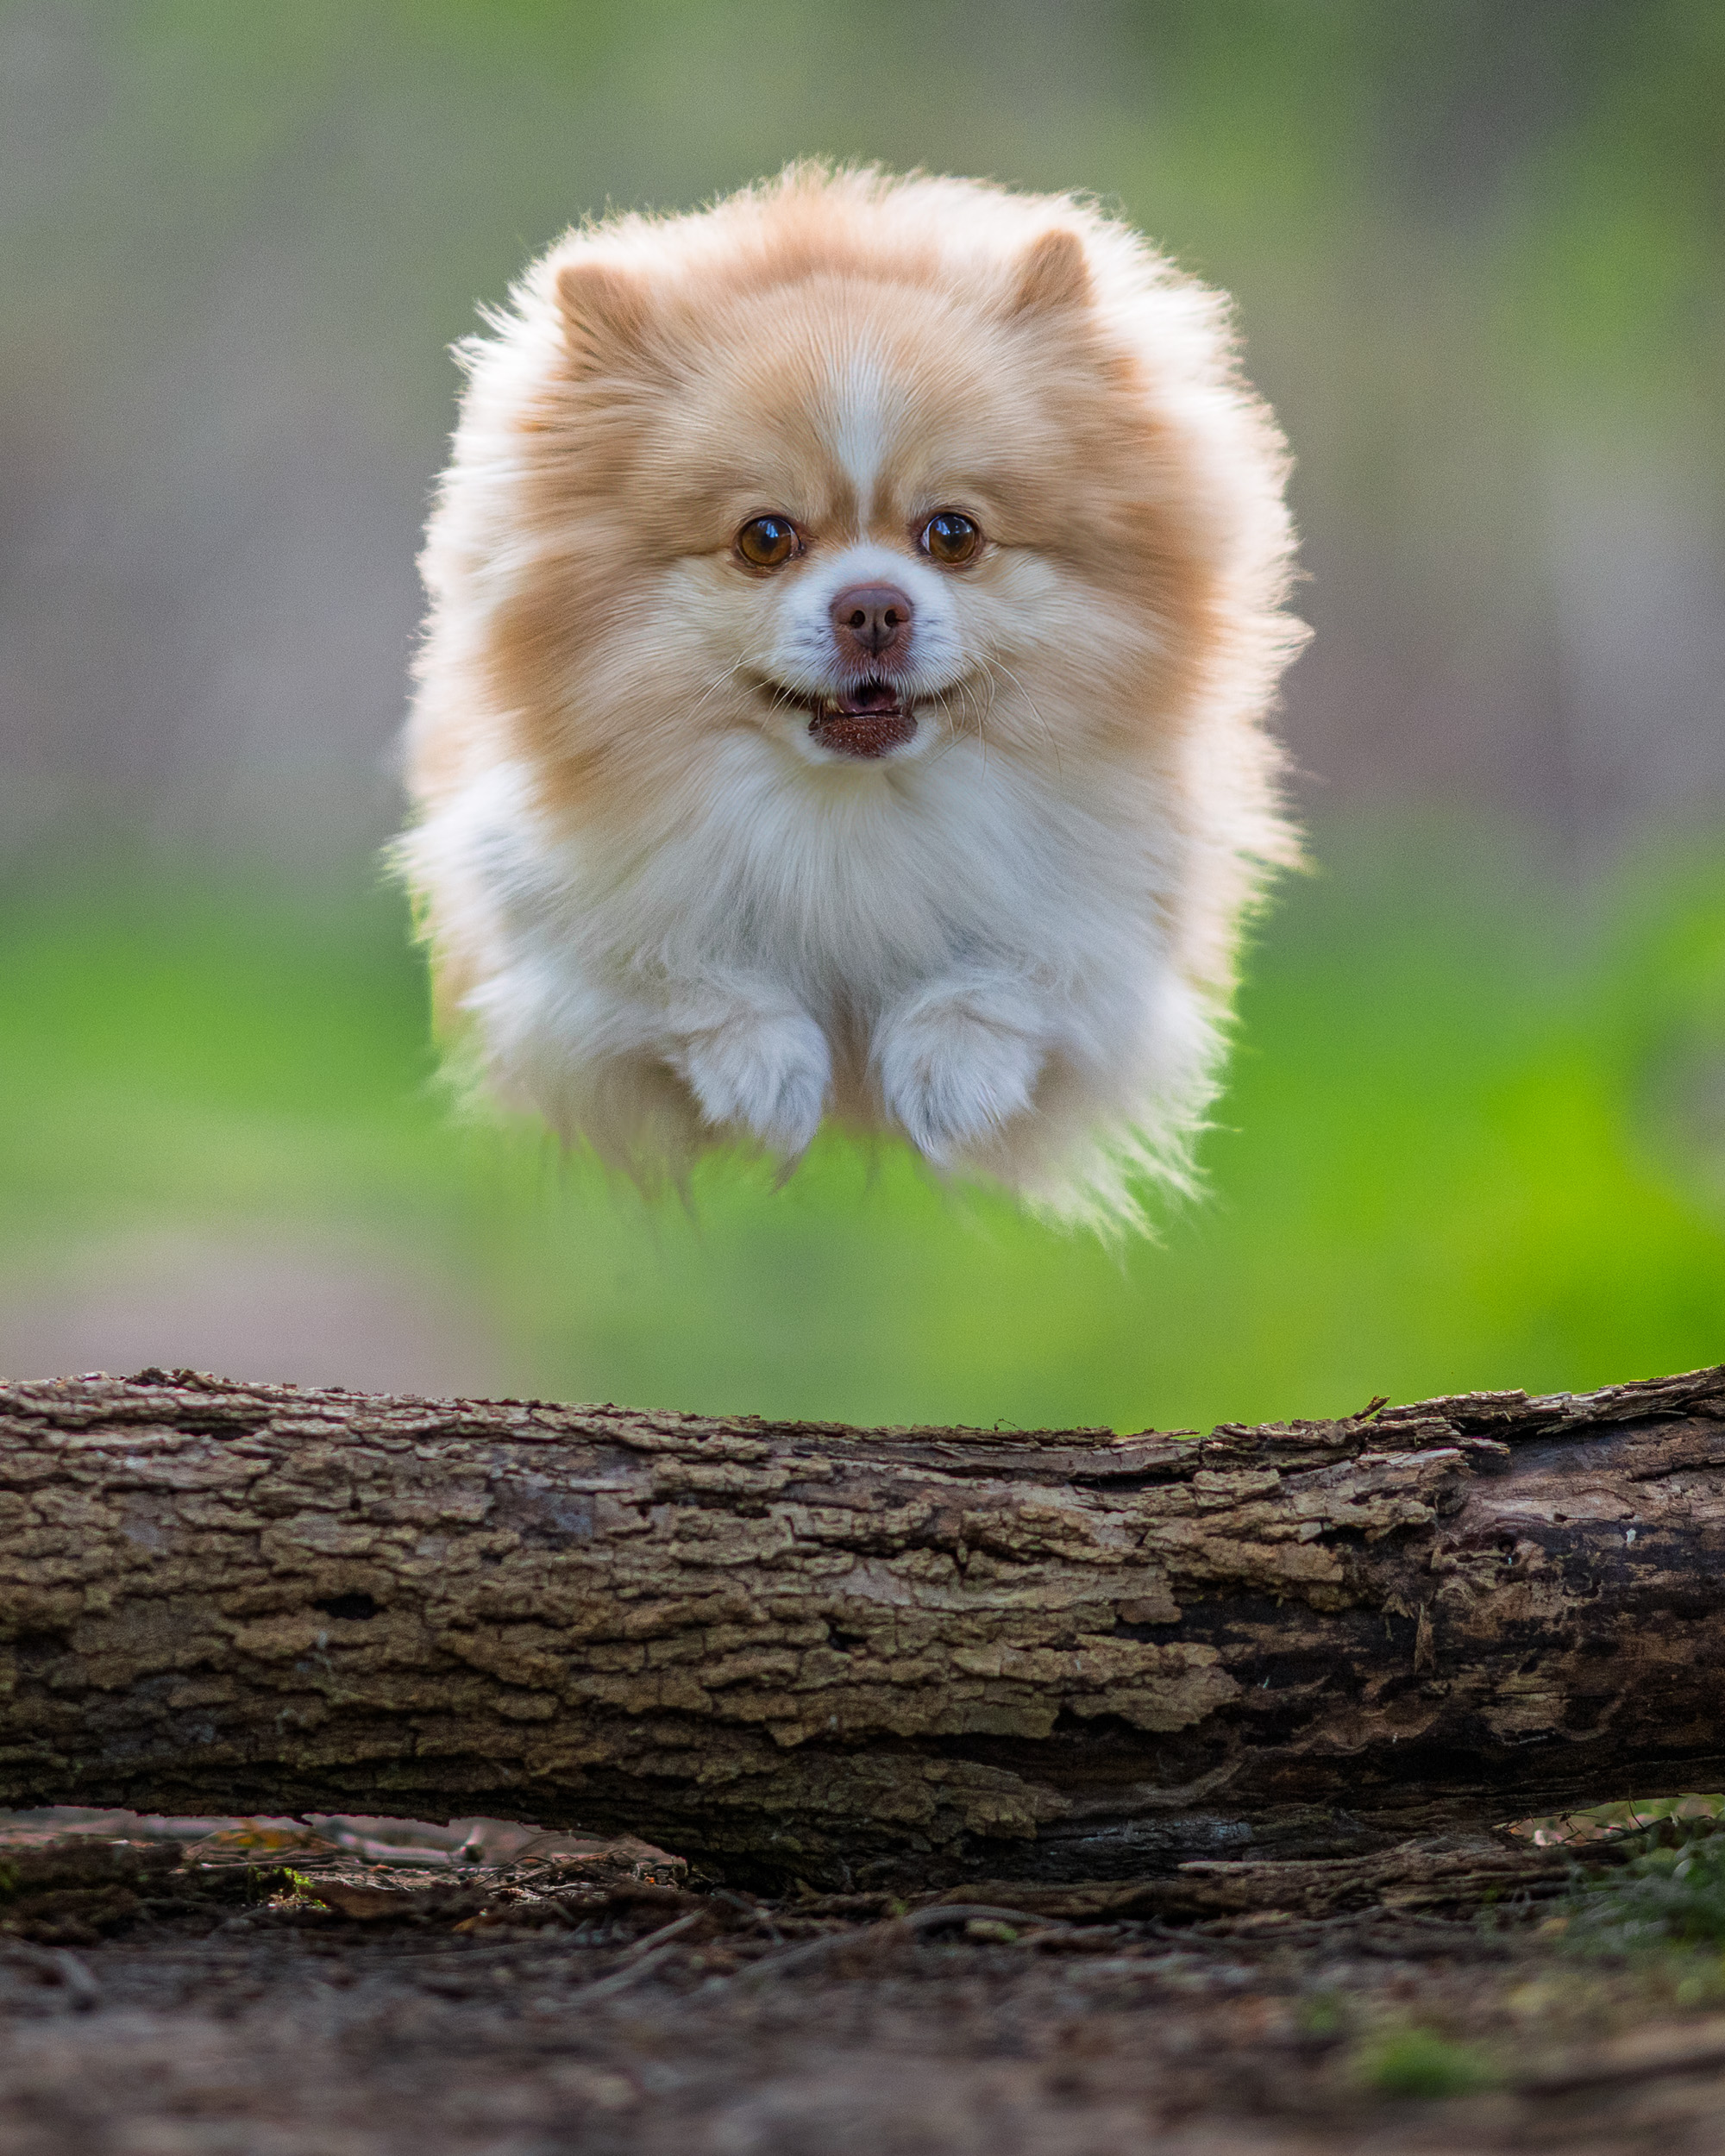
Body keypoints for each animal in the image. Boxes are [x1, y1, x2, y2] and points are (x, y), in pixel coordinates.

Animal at [399, 165, 1304, 1231]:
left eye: (952, 533)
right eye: (765, 538)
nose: (872, 606)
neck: (854, 820)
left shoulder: (1122, 927)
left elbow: (1038, 964)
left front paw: (950, 1062)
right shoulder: (547, 950)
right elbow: (660, 967)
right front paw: (767, 1069)